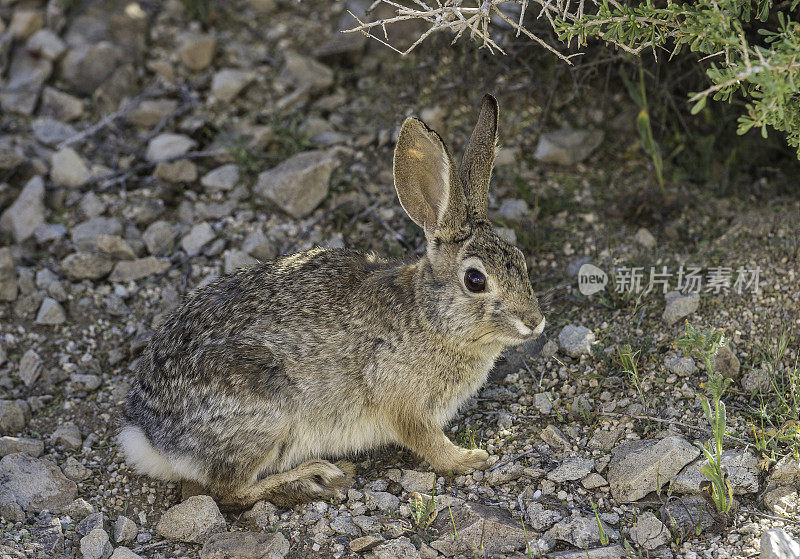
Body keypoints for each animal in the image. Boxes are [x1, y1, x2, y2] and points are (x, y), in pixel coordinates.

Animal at [120, 94, 544, 510]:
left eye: (521, 258)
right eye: (475, 280)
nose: (535, 321)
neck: (432, 316)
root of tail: (150, 436)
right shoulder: (404, 404)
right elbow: (428, 442)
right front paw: (470, 459)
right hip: (264, 415)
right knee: (229, 491)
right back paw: (316, 477)